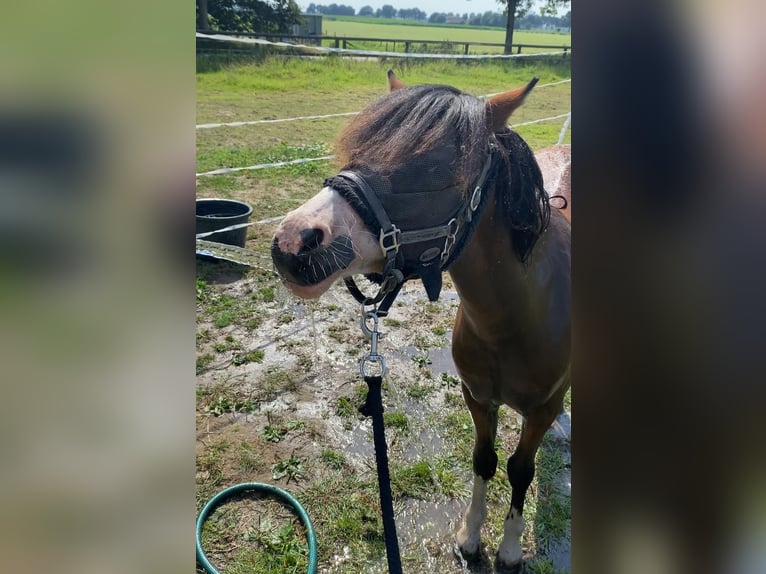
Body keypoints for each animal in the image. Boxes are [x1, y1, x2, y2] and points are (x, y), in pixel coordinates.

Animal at [272, 72, 568, 572]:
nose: (292, 243)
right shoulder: (477, 397)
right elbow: (485, 460)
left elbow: (520, 469)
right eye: (359, 149)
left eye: (436, 171)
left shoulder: (540, 410)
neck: (516, 319)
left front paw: (509, 548)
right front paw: (470, 537)